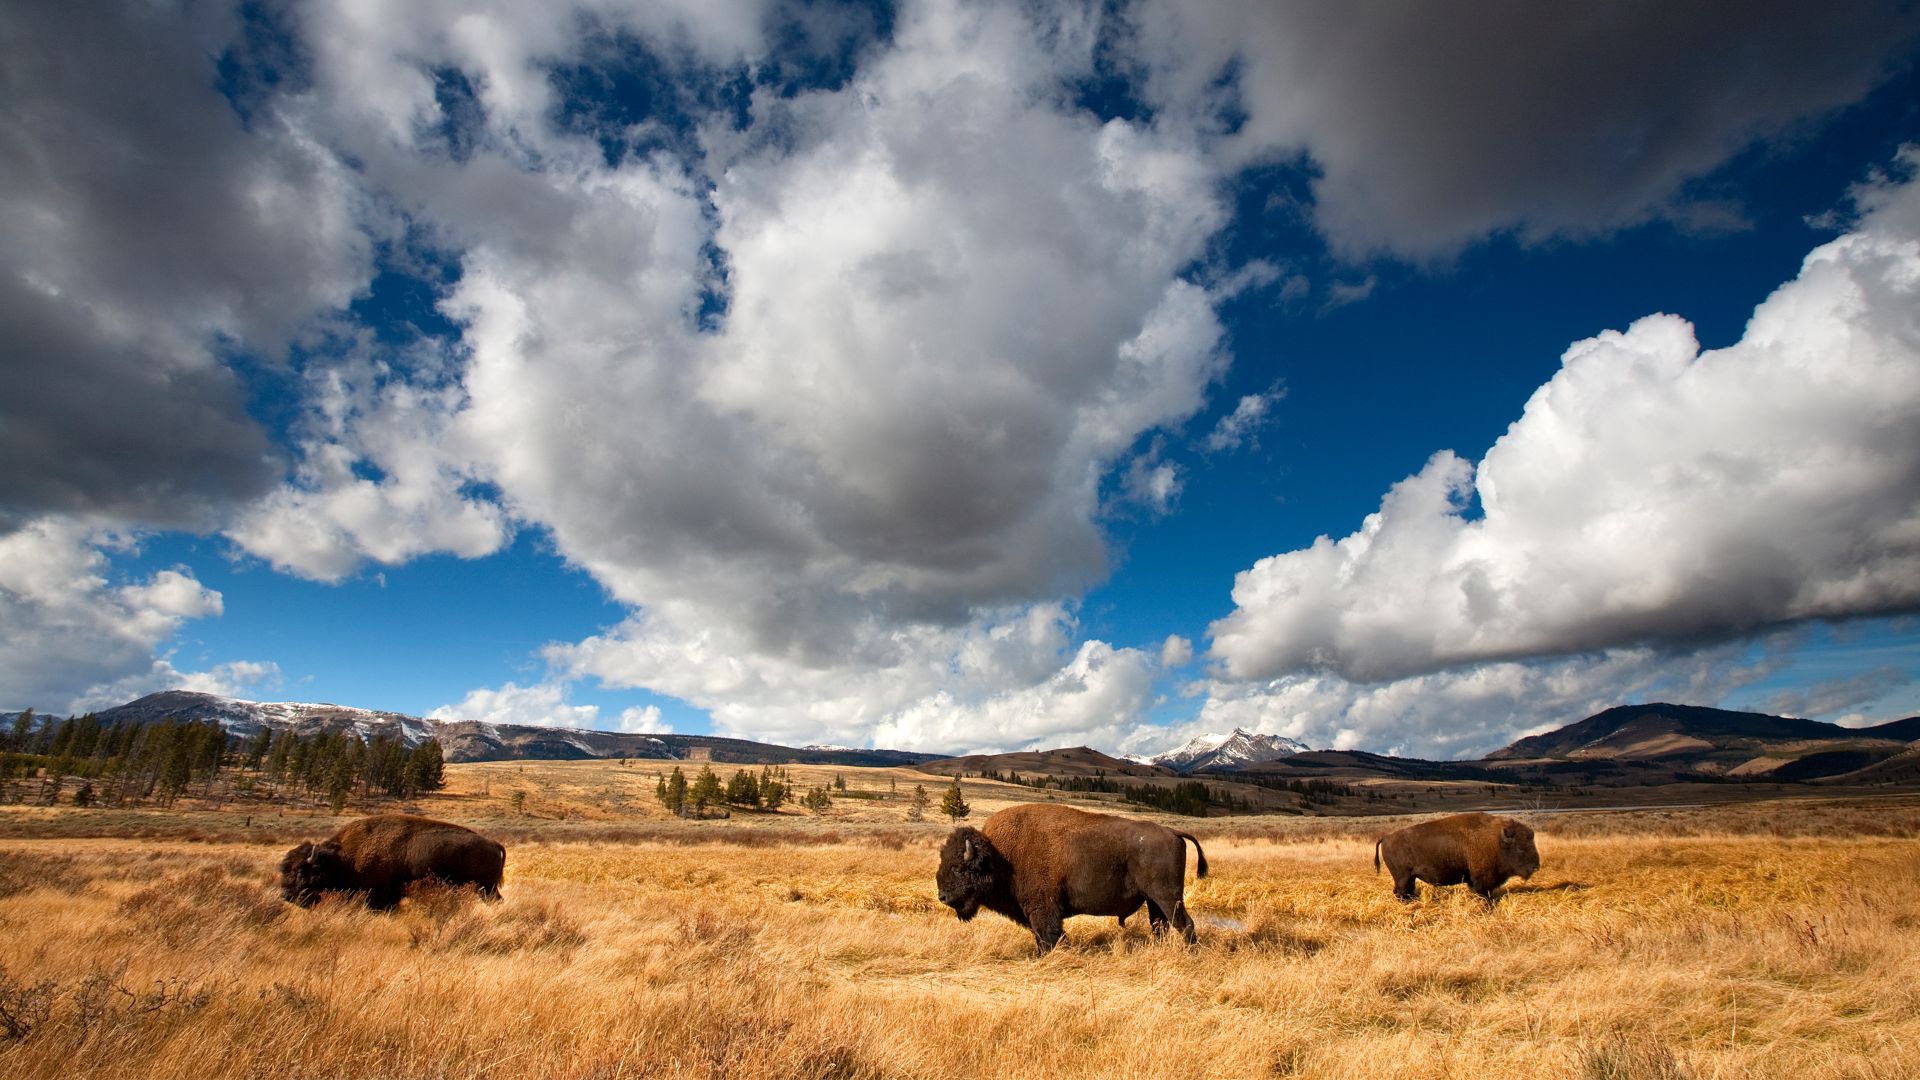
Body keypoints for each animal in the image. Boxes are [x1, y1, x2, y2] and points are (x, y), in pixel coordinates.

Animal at [279, 813, 505, 910]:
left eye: (302, 872)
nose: (286, 896)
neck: (344, 858)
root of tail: (493, 843)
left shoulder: (378, 894)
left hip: (485, 888)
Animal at [936, 803, 1208, 953]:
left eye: (959, 868)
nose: (942, 896)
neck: (1000, 856)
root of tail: (1172, 831)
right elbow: (1040, 937)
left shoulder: (1043, 910)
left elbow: (1048, 936)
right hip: (1153, 900)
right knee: (1160, 925)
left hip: (1168, 897)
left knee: (1184, 924)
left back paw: (1190, 954)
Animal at [1374, 812, 1539, 903]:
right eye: (1520, 848)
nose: (1535, 866)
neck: (1497, 841)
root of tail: (1386, 837)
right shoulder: (1481, 881)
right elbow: (1482, 893)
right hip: (1403, 877)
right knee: (1401, 892)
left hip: (1409, 877)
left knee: (1404, 892)